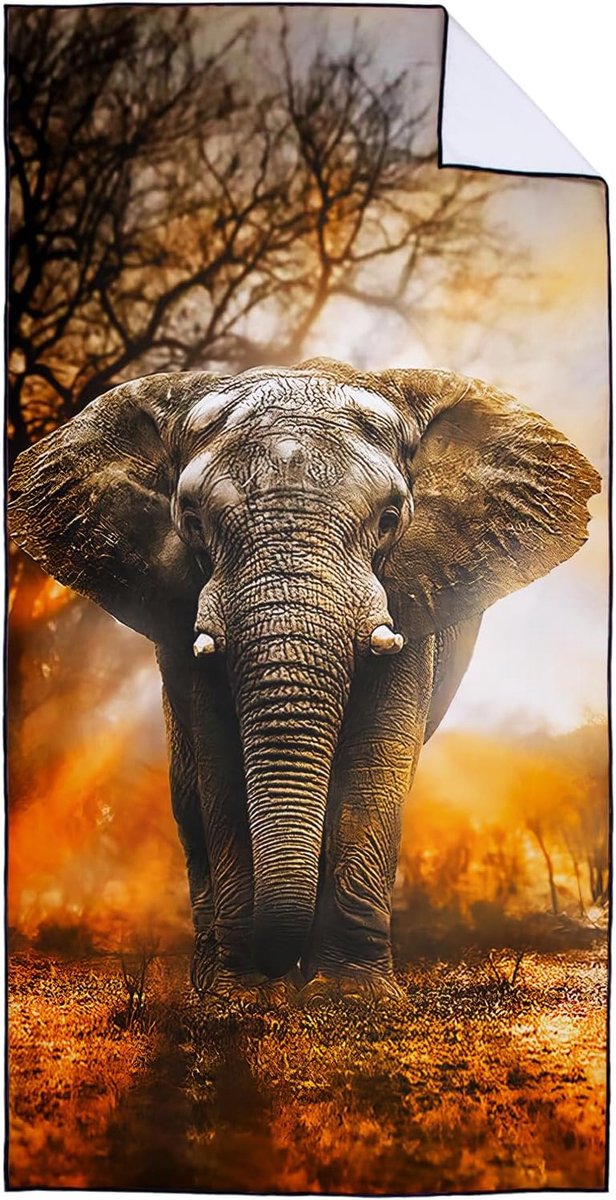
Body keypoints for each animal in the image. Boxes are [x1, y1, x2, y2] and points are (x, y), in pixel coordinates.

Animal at [8, 357, 600, 1005]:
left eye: (390, 519)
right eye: (191, 521)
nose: (275, 969)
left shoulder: (409, 596)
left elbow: (374, 761)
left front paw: (351, 998)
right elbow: (220, 764)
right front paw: (239, 999)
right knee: (188, 798)